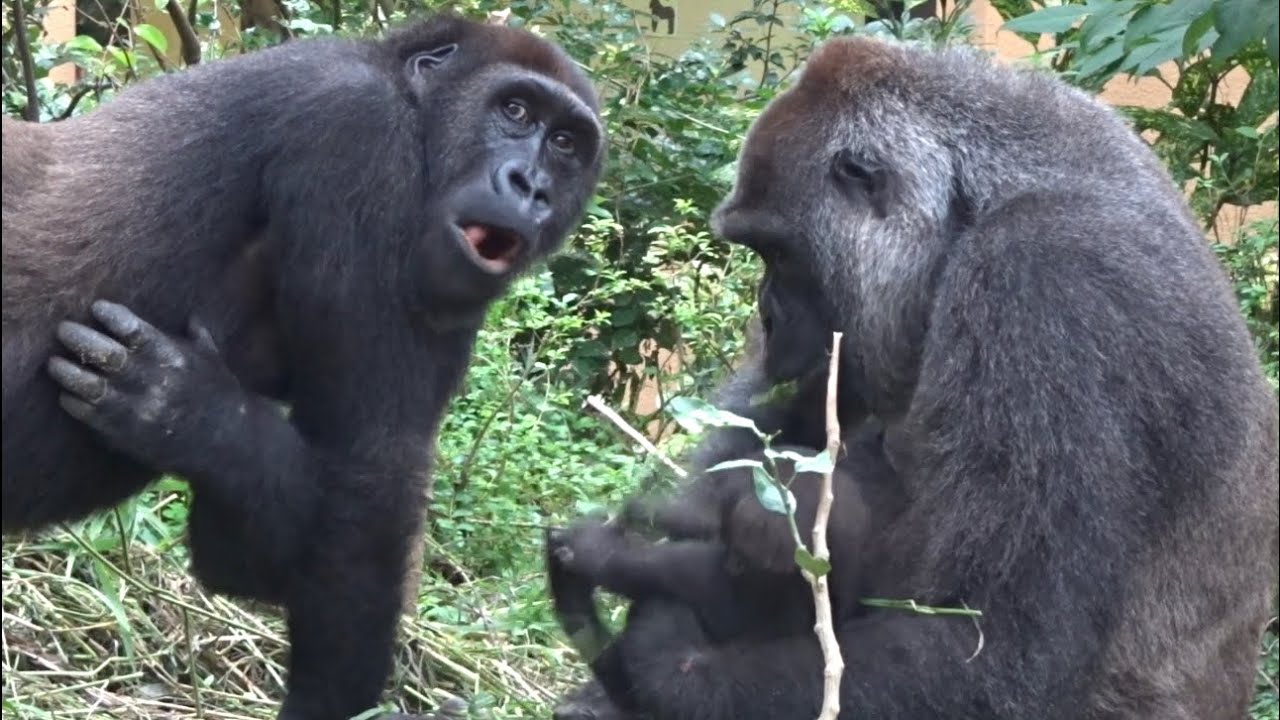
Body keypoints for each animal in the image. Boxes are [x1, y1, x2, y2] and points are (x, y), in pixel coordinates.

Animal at [2, 12, 601, 717]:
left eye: (566, 144)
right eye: (514, 110)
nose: (532, 187)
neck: (414, 105)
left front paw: (195, 415)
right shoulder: (354, 129)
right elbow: (369, 483)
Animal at [552, 33, 1280, 717]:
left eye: (779, 254)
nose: (768, 316)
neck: (978, 200)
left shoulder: (1042, 280)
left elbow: (997, 649)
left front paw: (664, 662)